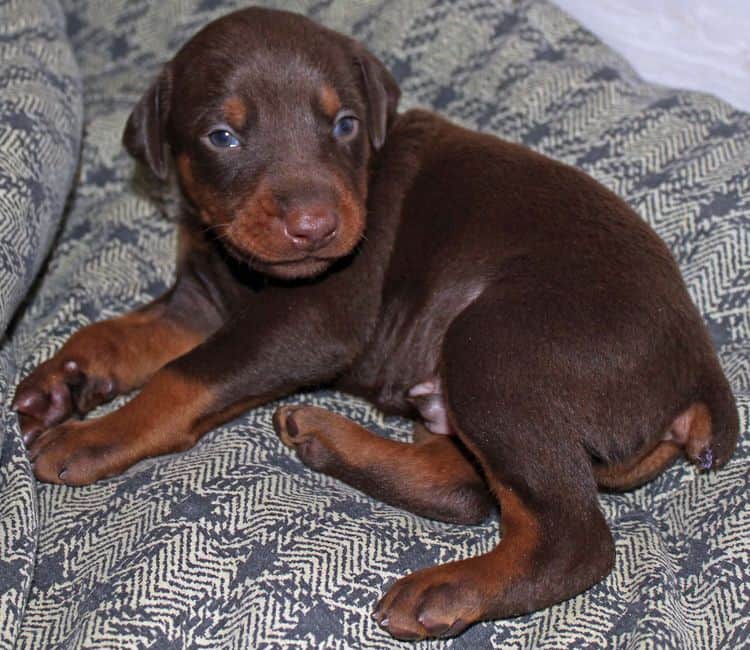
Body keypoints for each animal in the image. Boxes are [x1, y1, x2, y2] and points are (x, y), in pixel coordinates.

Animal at [11, 7, 740, 640]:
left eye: (344, 124)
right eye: (223, 136)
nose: (315, 227)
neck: (244, 268)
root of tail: (698, 370)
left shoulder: (313, 318)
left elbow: (180, 379)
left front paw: (92, 436)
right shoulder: (203, 298)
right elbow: (114, 334)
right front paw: (59, 382)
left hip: (497, 348)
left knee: (568, 536)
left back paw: (448, 588)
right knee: (467, 486)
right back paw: (324, 436)